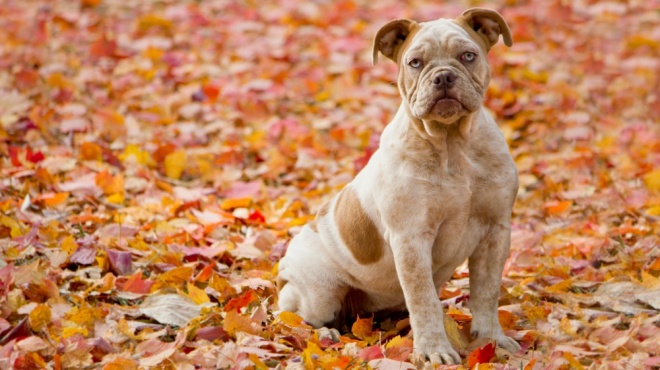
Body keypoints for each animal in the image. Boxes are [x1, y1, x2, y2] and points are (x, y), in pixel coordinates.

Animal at [278, 7, 520, 364]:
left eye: (468, 55)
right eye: (415, 62)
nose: (443, 77)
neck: (453, 144)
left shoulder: (495, 232)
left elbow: (486, 293)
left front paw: (491, 339)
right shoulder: (411, 239)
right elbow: (423, 300)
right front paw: (434, 351)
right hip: (319, 291)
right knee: (296, 319)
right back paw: (324, 334)